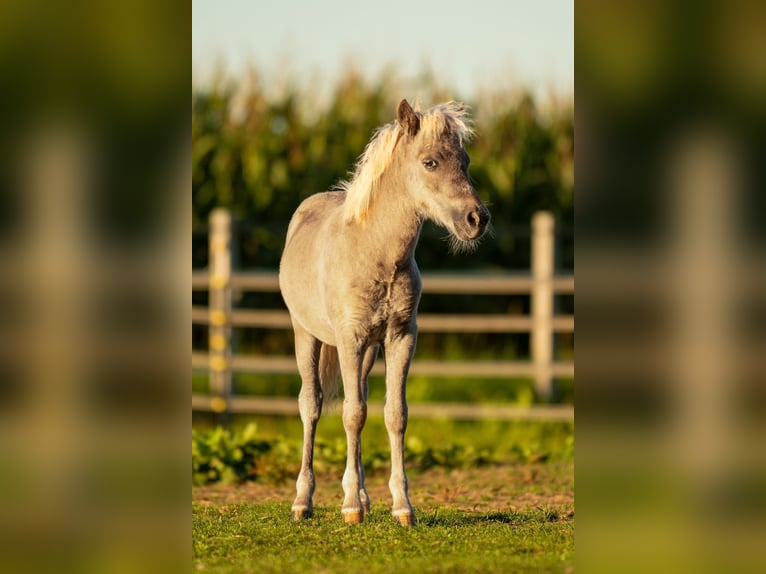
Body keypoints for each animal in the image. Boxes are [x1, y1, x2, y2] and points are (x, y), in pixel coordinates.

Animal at [278, 99, 490, 526]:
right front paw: (350, 508)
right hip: (307, 335)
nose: (477, 219)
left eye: (465, 161)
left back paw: (360, 493)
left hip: (368, 353)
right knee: (312, 405)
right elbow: (352, 414)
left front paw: (401, 506)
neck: (375, 253)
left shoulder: (400, 337)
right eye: (430, 162)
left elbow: (393, 414)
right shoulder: (349, 338)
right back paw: (303, 501)